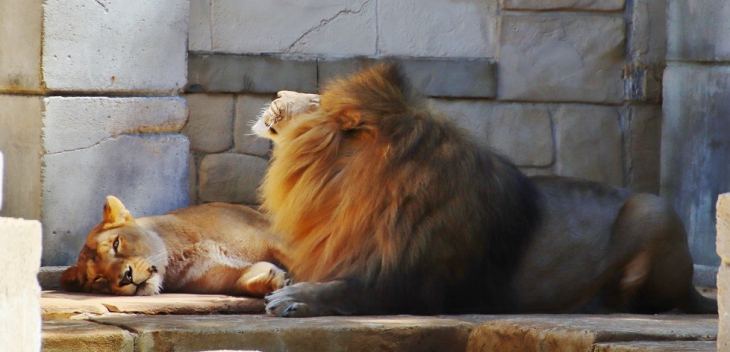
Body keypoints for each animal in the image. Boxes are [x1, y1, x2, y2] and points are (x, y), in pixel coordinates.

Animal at [61, 195, 286, 296]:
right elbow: (245, 280)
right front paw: (275, 281)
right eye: (98, 278)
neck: (177, 256)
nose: (126, 278)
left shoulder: (274, 235)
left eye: (116, 244)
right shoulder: (224, 278)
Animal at [253, 64, 712, 318]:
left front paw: (293, 297)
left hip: (651, 209)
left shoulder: (418, 284)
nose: (277, 92)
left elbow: (347, 289)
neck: (342, 184)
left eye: (315, 101)